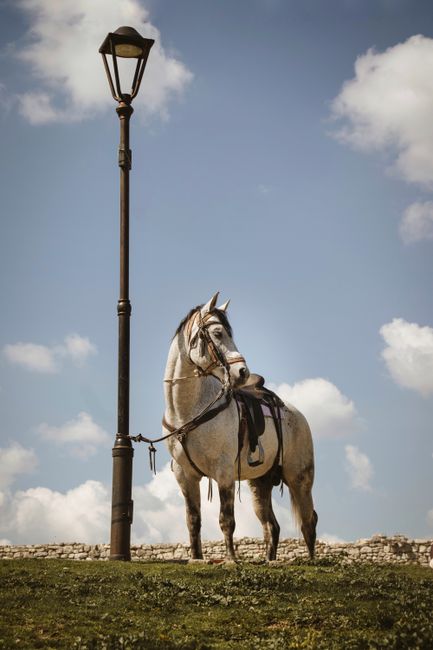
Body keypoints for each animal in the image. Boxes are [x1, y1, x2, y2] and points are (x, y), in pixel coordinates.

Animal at [163, 292, 318, 562]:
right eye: (217, 333)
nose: (242, 372)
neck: (188, 412)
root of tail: (299, 416)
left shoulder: (224, 472)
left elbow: (226, 520)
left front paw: (231, 559)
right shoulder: (186, 476)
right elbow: (193, 520)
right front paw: (196, 558)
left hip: (299, 479)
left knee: (309, 521)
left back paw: (311, 562)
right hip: (260, 484)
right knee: (271, 526)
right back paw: (269, 561)